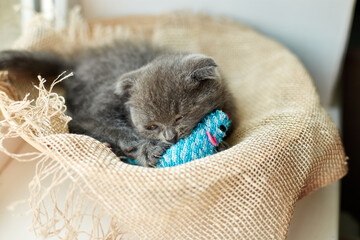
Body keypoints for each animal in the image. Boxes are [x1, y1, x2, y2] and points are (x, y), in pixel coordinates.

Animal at [0, 41, 228, 167]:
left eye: (180, 117)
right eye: (151, 126)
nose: (170, 137)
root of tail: (77, 66)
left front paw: (221, 144)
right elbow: (118, 129)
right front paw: (146, 149)